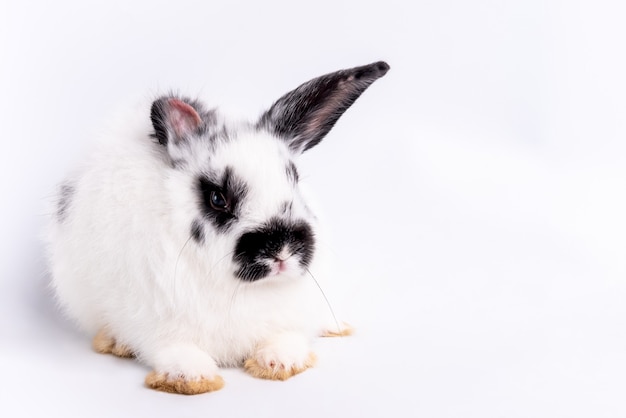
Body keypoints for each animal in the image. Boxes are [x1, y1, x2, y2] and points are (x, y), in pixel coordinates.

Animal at [46, 60, 388, 394]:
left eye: (294, 178)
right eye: (218, 198)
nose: (282, 249)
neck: (239, 288)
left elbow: (285, 336)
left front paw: (280, 362)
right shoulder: (155, 319)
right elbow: (173, 347)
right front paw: (189, 377)